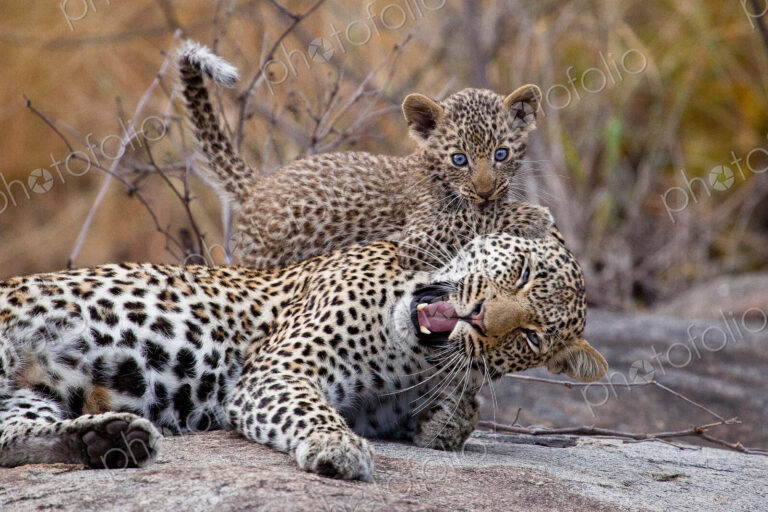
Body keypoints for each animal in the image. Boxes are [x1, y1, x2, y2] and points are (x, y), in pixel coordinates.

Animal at [0, 232, 607, 481]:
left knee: (9, 440)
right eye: (522, 272)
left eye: (530, 336)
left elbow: (454, 413)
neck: (409, 358)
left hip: (29, 393)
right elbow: (310, 409)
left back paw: (106, 440)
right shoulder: (280, 368)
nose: (482, 318)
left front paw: (447, 417)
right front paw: (338, 447)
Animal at [178, 40, 555, 271]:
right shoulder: (415, 239)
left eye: (501, 154)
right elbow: (469, 219)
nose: (485, 191)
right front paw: (532, 215)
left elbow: (476, 214)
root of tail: (259, 185)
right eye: (459, 159)